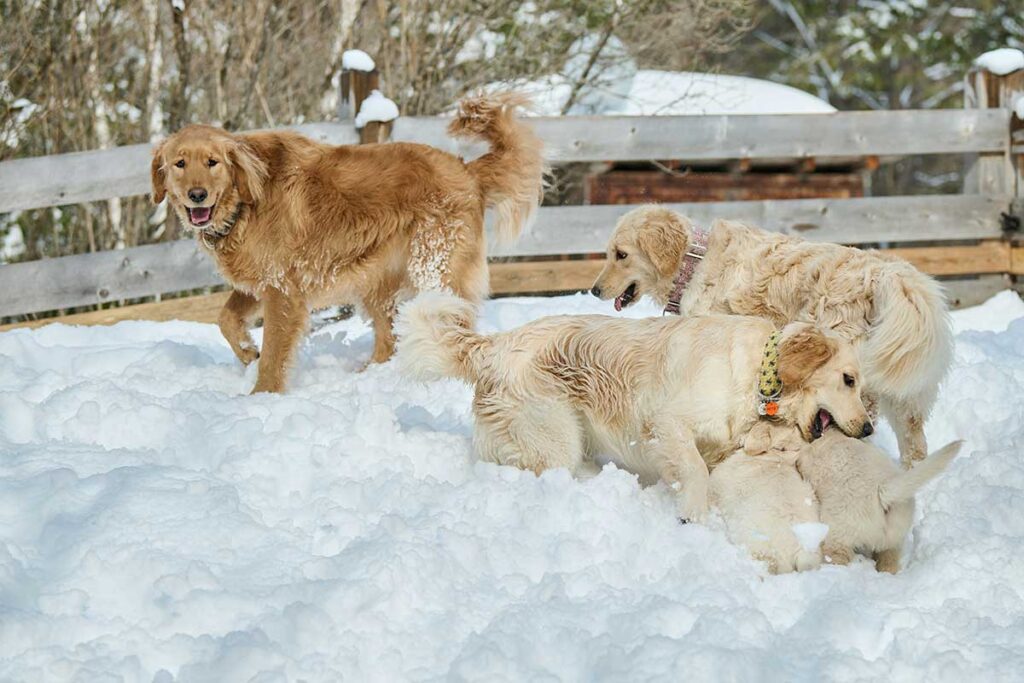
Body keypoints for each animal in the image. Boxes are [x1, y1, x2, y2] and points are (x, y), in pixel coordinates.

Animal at [150, 96, 544, 395]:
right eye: (179, 163)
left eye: (212, 162)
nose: (196, 195)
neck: (245, 203)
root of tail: (467, 169)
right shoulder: (259, 281)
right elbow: (225, 319)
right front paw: (248, 353)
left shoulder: (283, 291)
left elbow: (274, 356)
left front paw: (261, 396)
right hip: (378, 283)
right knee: (388, 340)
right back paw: (370, 377)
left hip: (436, 268)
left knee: (454, 325)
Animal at [393, 290, 872, 520]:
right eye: (848, 380)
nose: (868, 429)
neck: (759, 372)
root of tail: (491, 347)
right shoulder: (667, 424)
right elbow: (695, 470)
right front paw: (693, 515)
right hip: (553, 436)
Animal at [589, 205, 954, 466]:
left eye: (620, 254)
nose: (593, 290)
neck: (695, 262)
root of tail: (883, 272)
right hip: (905, 398)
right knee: (913, 447)